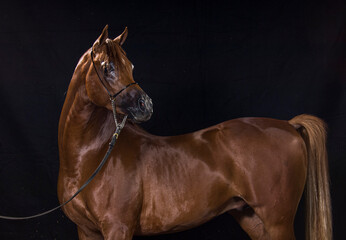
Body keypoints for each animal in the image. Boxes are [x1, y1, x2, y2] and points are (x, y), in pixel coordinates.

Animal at [57, 25, 332, 239]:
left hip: (277, 222)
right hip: (251, 218)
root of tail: (288, 124)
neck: (93, 158)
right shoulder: (87, 231)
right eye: (107, 67)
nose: (145, 105)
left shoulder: (118, 228)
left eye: (130, 65)